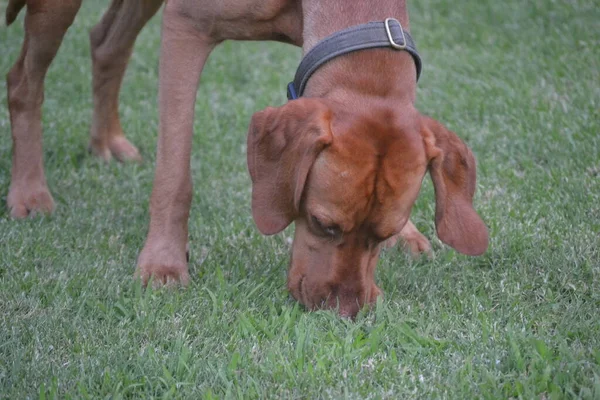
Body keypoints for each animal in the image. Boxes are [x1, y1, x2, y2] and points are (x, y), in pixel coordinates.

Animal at [136, 0, 488, 318]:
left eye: (384, 235)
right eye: (322, 223)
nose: (344, 312)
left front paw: (408, 236)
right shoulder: (187, 22)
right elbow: (174, 168)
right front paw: (164, 261)